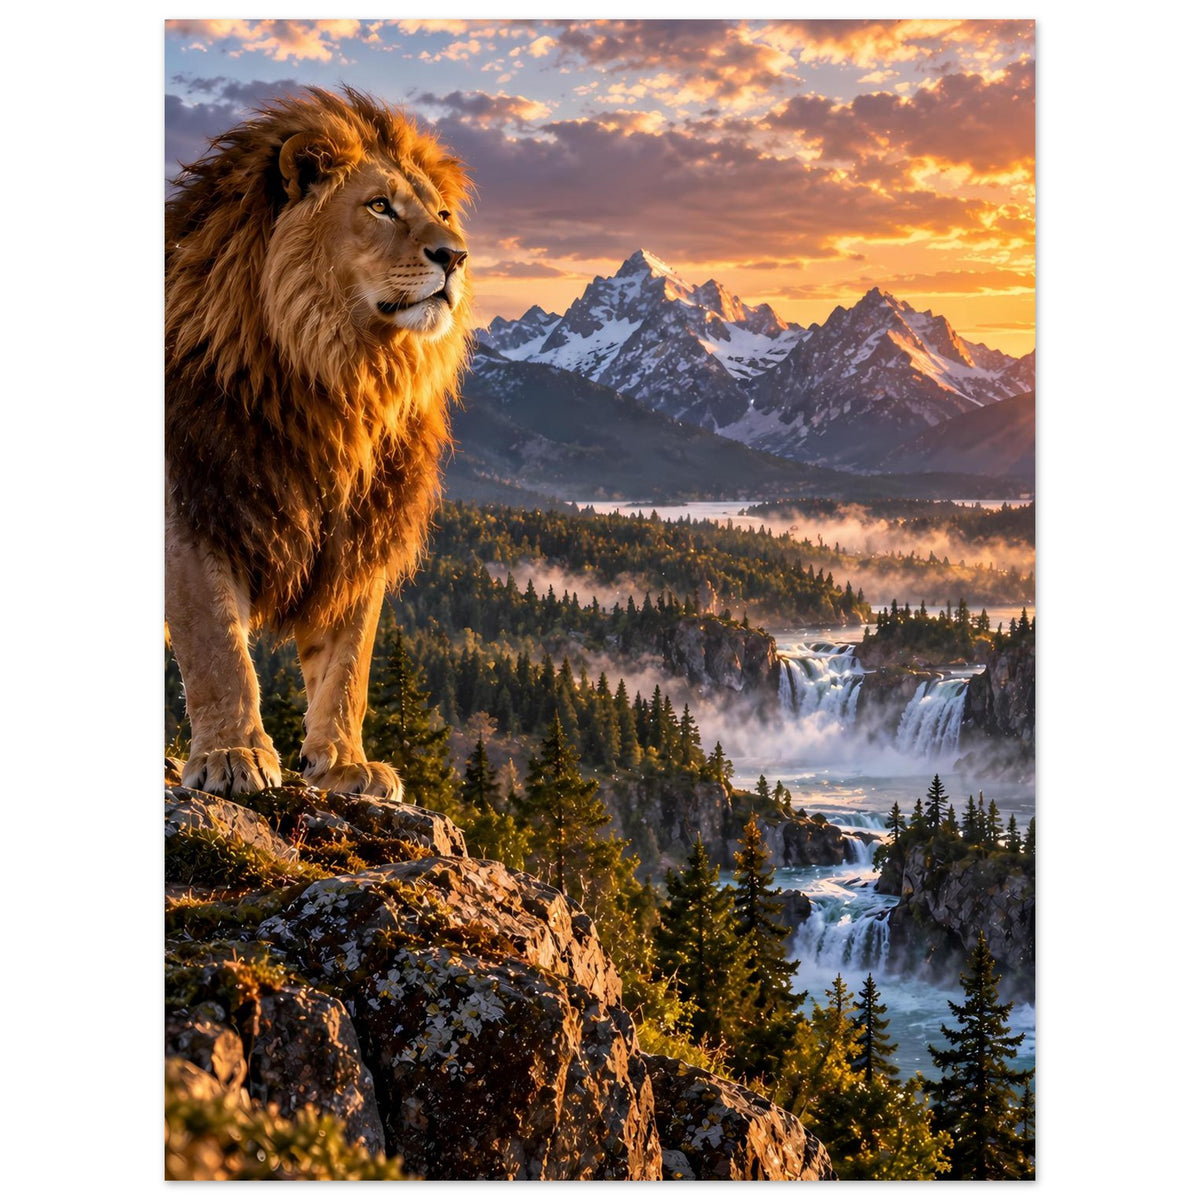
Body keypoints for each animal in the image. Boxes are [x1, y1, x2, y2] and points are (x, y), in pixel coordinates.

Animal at [165, 88, 472, 801]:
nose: (455, 257)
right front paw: (233, 754)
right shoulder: (194, 502)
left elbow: (347, 666)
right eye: (380, 205)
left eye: (442, 214)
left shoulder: (357, 533)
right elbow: (216, 645)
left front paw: (344, 765)